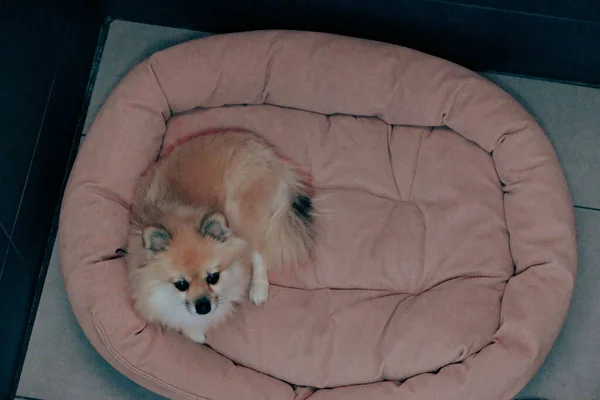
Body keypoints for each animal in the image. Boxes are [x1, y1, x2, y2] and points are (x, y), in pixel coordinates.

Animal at [125, 130, 316, 342]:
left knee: (258, 252)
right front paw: (196, 334)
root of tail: (266, 152)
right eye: (181, 284)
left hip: (240, 213)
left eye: (213, 277)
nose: (203, 307)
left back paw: (258, 289)